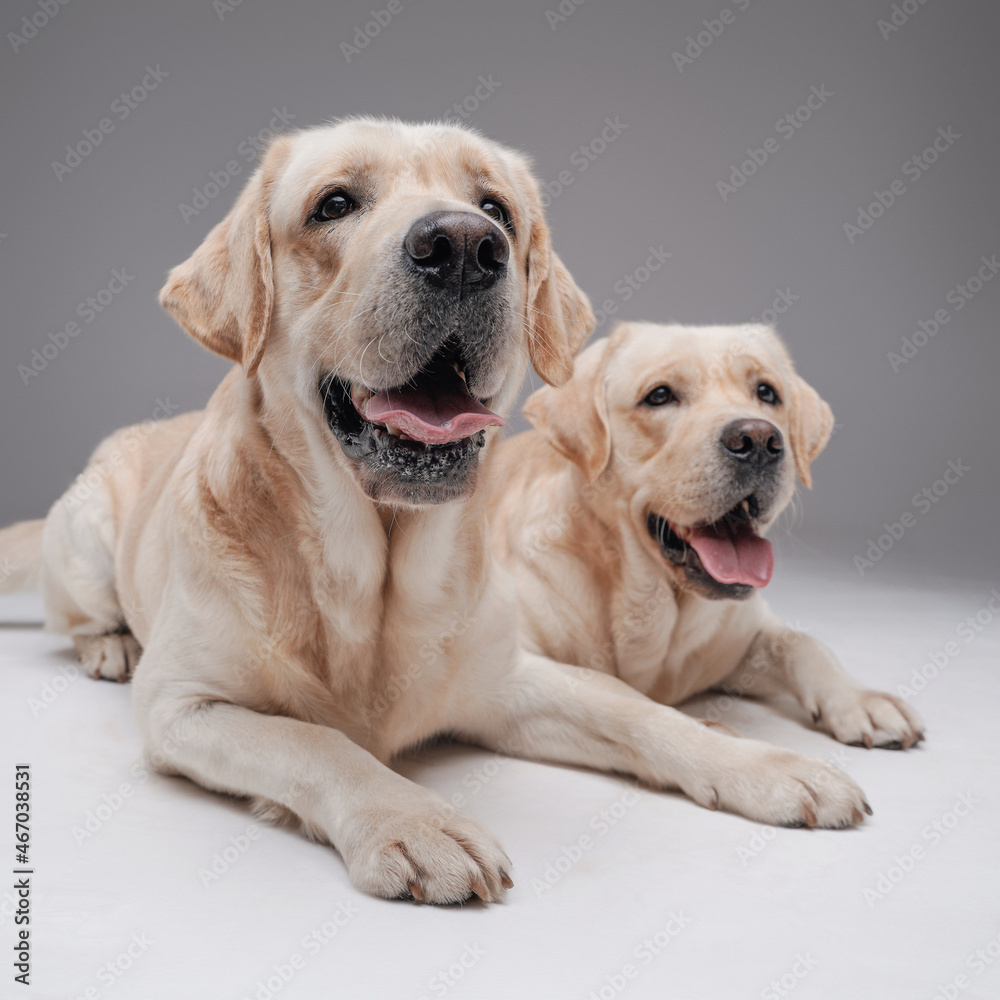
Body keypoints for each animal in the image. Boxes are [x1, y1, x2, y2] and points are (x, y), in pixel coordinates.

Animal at [0, 127, 872, 908]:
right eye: (334, 204)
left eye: (496, 209)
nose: (463, 246)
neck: (376, 576)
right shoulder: (185, 706)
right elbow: (318, 740)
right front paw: (414, 823)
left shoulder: (511, 677)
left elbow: (640, 712)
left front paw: (761, 765)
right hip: (85, 535)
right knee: (80, 615)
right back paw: (110, 645)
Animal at [490, 324, 920, 760]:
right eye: (660, 395)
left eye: (766, 392)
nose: (759, 441)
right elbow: (622, 700)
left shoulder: (747, 636)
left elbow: (802, 642)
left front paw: (862, 700)